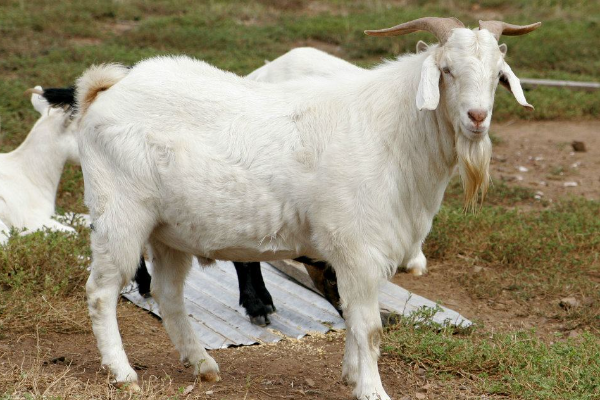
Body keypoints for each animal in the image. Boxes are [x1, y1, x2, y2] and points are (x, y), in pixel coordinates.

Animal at [75, 17, 540, 399]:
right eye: (447, 70)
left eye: (498, 76)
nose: (477, 117)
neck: (393, 133)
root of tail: (106, 91)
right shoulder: (358, 249)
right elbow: (369, 328)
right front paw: (373, 390)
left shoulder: (352, 257)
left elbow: (352, 319)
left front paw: (352, 376)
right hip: (120, 215)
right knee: (101, 292)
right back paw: (123, 373)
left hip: (169, 230)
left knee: (168, 295)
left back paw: (202, 365)